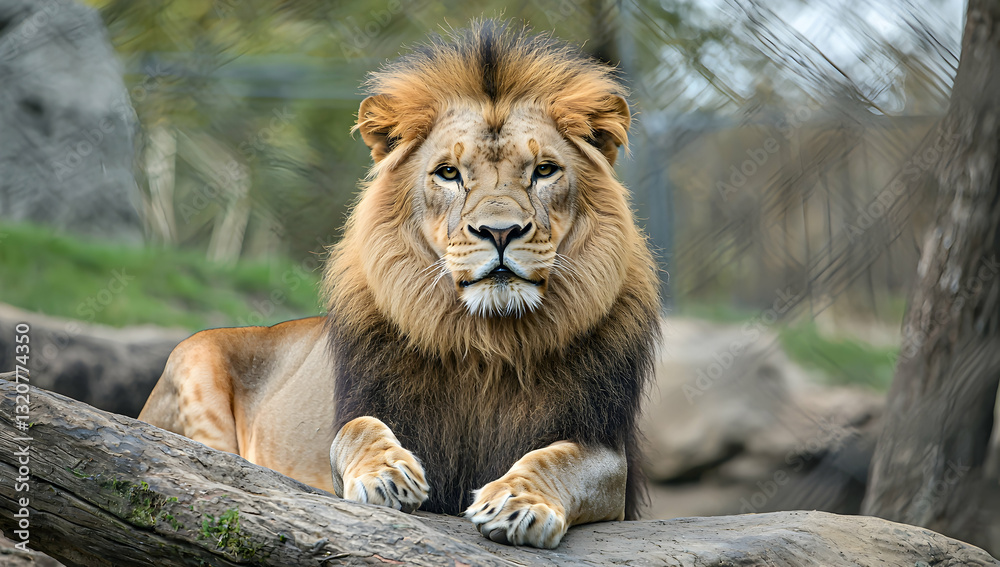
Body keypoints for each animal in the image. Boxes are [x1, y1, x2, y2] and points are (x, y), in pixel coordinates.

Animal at [139, 20, 660, 549]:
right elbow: (357, 429)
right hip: (192, 355)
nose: (500, 232)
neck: (487, 341)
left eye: (545, 170)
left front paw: (517, 502)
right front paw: (386, 475)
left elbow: (560, 459)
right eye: (448, 173)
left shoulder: (606, 450)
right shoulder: (370, 409)